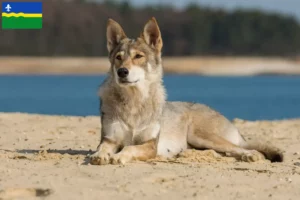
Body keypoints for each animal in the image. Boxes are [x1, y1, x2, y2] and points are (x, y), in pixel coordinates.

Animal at [89, 16, 284, 164]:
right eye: (118, 58)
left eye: (138, 56)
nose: (122, 72)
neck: (134, 103)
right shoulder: (110, 138)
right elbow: (103, 148)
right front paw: (99, 155)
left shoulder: (150, 145)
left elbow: (130, 148)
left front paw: (118, 156)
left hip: (201, 136)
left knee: (240, 148)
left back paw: (251, 155)